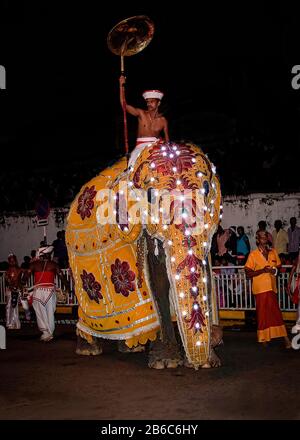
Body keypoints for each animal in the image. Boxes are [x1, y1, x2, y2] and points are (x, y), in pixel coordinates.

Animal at [65, 140, 223, 368]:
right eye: (150, 196)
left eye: (206, 187)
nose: (197, 364)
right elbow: (158, 278)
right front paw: (165, 362)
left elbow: (205, 274)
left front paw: (209, 362)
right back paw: (88, 349)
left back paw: (132, 348)